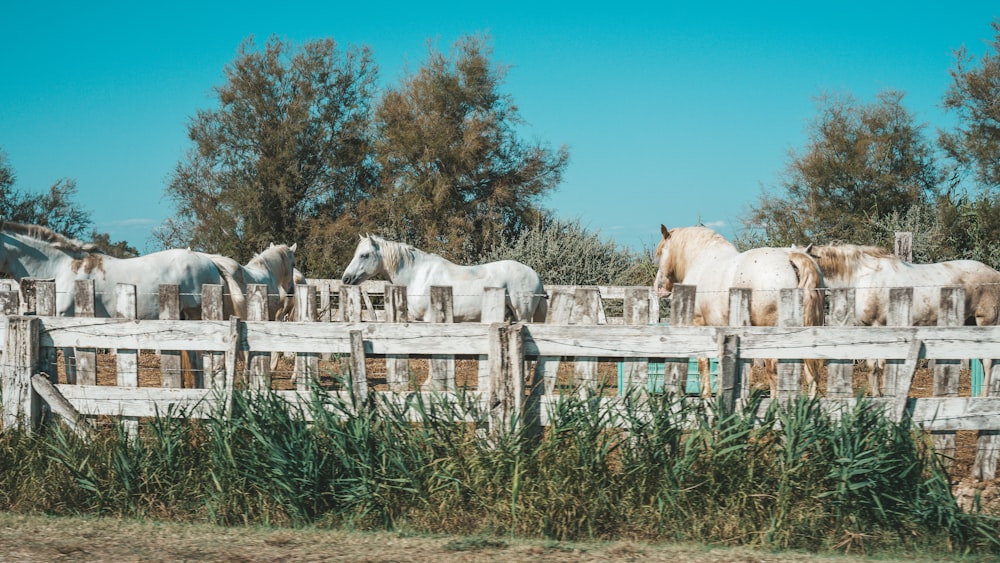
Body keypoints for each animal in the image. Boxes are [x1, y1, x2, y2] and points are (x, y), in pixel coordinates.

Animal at [652, 225, 824, 396]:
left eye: (661, 253)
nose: (658, 288)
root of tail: (790, 256)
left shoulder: (699, 324)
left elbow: (704, 364)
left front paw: (707, 397)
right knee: (810, 373)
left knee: (774, 372)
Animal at [800, 243, 1000, 396]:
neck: (861, 278)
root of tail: (995, 274)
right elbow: (873, 366)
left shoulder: (877, 327)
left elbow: (876, 365)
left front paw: (879, 395)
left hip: (986, 323)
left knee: (989, 362)